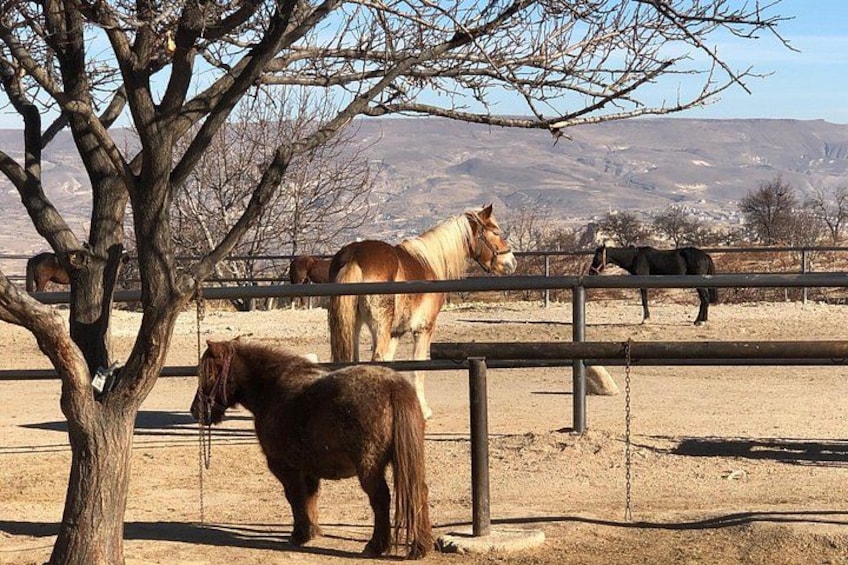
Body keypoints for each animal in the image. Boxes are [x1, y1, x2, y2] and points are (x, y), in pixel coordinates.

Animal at [190, 338, 433, 559]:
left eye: (207, 374)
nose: (196, 411)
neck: (271, 390)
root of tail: (393, 385)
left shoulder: (284, 468)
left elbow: (295, 497)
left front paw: (300, 534)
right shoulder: (309, 470)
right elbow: (310, 498)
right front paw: (313, 531)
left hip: (370, 468)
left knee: (381, 499)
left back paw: (376, 546)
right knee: (418, 491)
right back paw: (420, 546)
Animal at [328, 203, 517, 420]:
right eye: (496, 232)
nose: (511, 262)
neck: (430, 262)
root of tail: (354, 256)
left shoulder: (396, 333)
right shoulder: (424, 329)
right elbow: (419, 368)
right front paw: (424, 409)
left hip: (353, 325)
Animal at [588, 244, 718, 325]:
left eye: (596, 257)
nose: (591, 272)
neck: (635, 257)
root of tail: (705, 256)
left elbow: (644, 300)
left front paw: (645, 319)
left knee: (705, 299)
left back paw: (702, 321)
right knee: (703, 300)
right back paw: (697, 321)